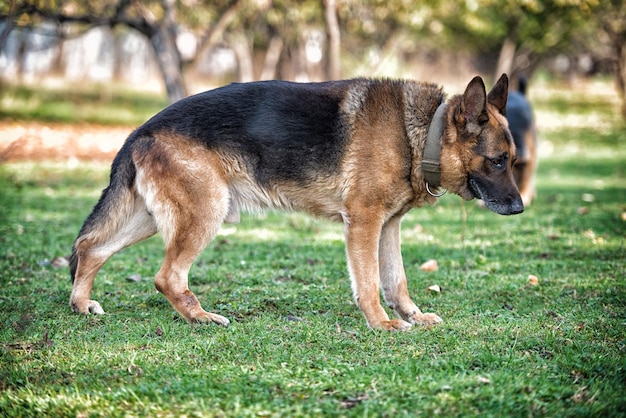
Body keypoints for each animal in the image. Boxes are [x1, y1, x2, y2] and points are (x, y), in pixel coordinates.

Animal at [69, 74, 520, 330]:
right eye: (498, 161)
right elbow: (370, 283)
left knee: (91, 247)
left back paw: (80, 304)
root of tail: (140, 130)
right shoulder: (364, 222)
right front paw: (381, 324)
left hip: (153, 216)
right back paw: (200, 318)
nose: (519, 209)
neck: (423, 132)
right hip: (205, 211)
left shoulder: (389, 225)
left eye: (513, 161)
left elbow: (397, 280)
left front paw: (413, 316)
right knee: (166, 276)